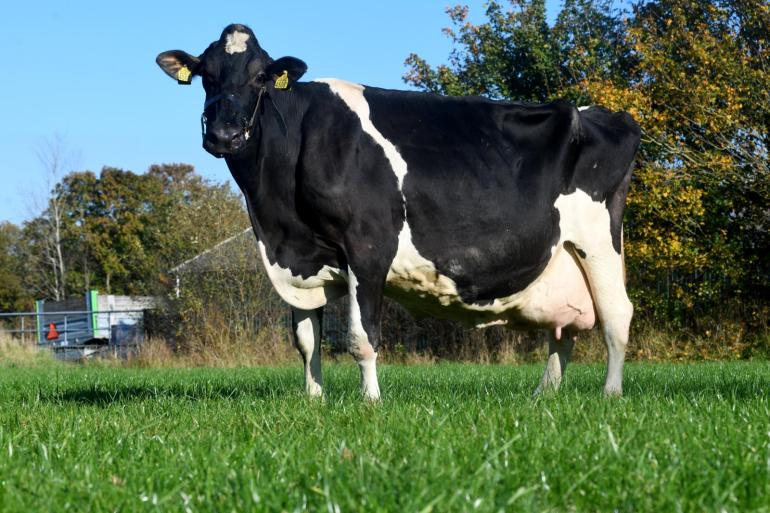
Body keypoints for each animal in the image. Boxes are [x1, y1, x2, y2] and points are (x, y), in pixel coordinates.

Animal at [154, 25, 636, 400]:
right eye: (205, 76)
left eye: (260, 77)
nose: (224, 134)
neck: (276, 220)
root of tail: (599, 113)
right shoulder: (300, 258)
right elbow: (306, 341)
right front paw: (314, 400)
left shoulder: (368, 247)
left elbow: (361, 337)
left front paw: (370, 401)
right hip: (563, 259)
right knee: (563, 331)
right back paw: (543, 396)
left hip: (598, 241)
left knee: (616, 316)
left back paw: (610, 394)